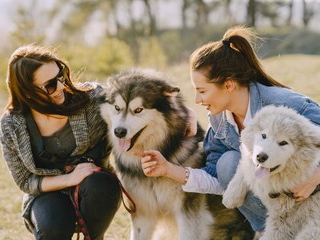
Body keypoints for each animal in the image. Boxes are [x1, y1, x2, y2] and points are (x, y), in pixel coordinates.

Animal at [224, 106, 320, 239]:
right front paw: (231, 196)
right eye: (264, 135)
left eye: (283, 143)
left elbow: (271, 235)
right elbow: (246, 169)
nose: (261, 157)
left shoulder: (285, 218)